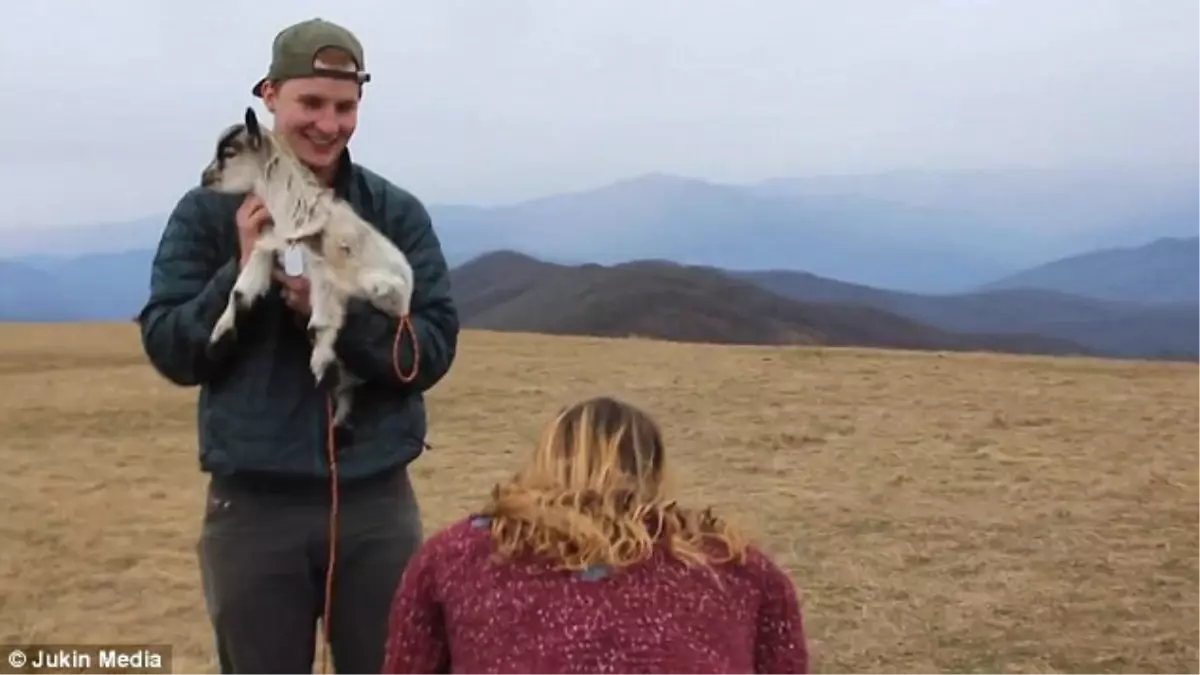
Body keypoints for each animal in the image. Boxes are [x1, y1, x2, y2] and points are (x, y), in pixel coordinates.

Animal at [200, 108, 417, 425]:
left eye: (229, 152)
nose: (205, 178)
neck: (295, 210)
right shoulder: (268, 248)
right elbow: (240, 294)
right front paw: (218, 339)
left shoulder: (324, 276)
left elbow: (320, 325)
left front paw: (322, 370)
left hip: (390, 296)